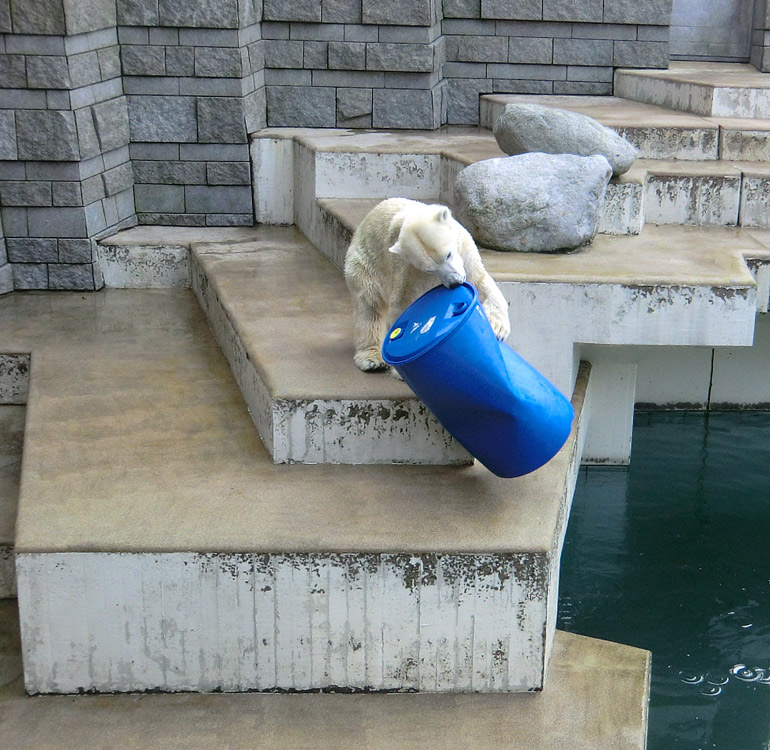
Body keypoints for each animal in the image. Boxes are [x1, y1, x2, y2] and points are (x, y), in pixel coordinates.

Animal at [344, 198, 510, 374]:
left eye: (448, 254)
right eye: (430, 269)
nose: (454, 283)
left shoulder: (464, 250)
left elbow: (480, 281)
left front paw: (498, 328)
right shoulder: (406, 268)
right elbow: (402, 303)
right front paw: (400, 369)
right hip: (364, 266)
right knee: (370, 306)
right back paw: (372, 358)